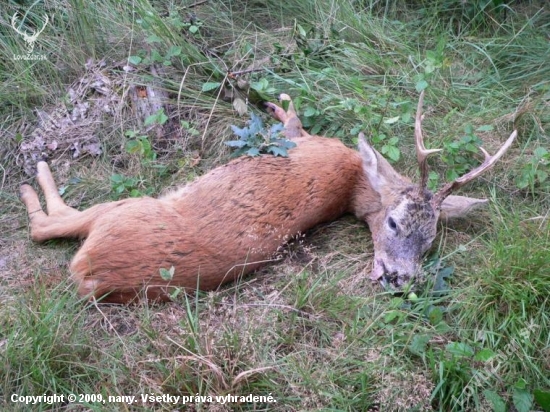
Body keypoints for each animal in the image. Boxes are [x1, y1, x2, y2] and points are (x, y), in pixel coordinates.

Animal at [20, 92, 516, 302]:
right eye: (394, 223)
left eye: (429, 241)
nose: (400, 277)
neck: (351, 178)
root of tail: (90, 274)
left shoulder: (305, 142)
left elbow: (292, 123)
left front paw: (279, 102)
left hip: (126, 208)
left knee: (47, 226)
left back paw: (32, 176)